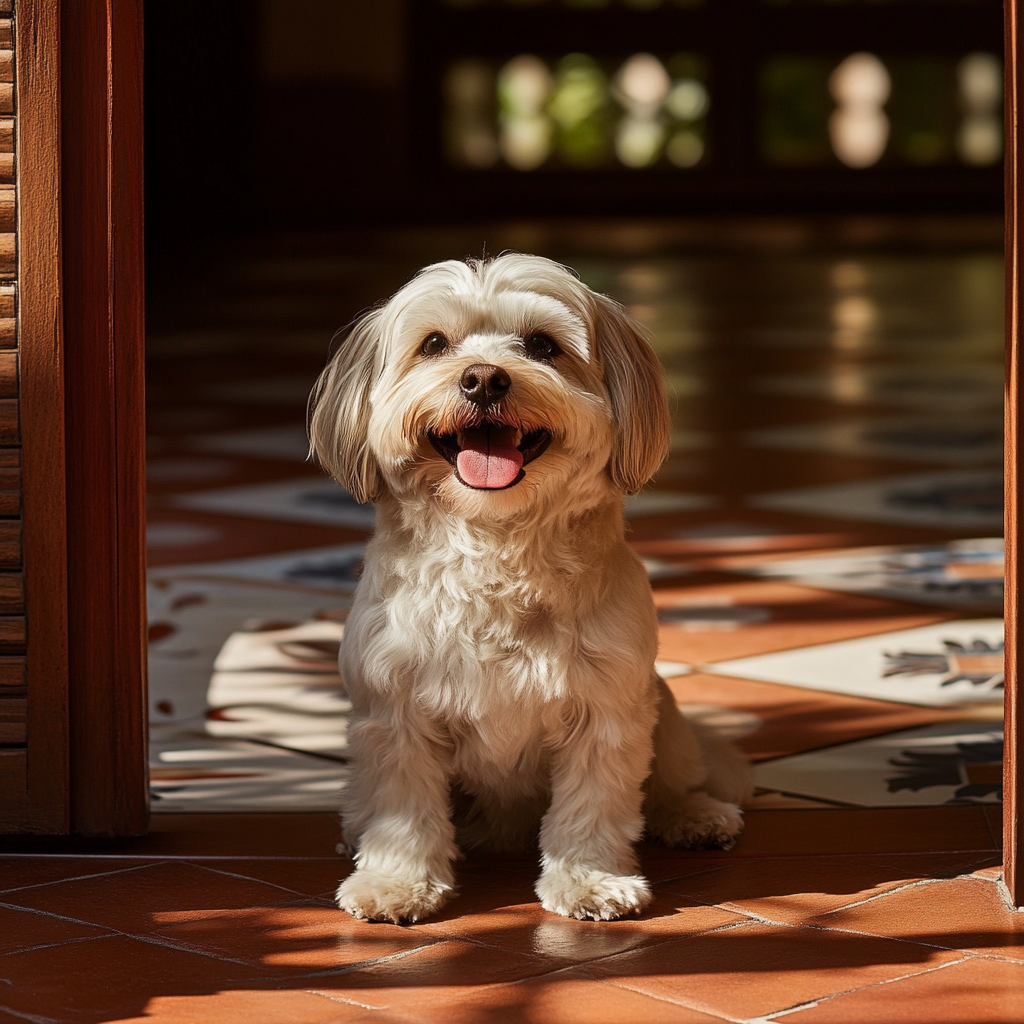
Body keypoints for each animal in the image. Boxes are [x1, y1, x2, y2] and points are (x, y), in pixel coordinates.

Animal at [307, 251, 749, 925]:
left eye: (542, 345)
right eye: (434, 345)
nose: (484, 379)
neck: (498, 544)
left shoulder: (606, 710)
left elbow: (593, 806)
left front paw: (589, 880)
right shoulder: (396, 712)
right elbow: (403, 812)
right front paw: (395, 882)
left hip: (664, 712)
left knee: (672, 780)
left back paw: (694, 814)